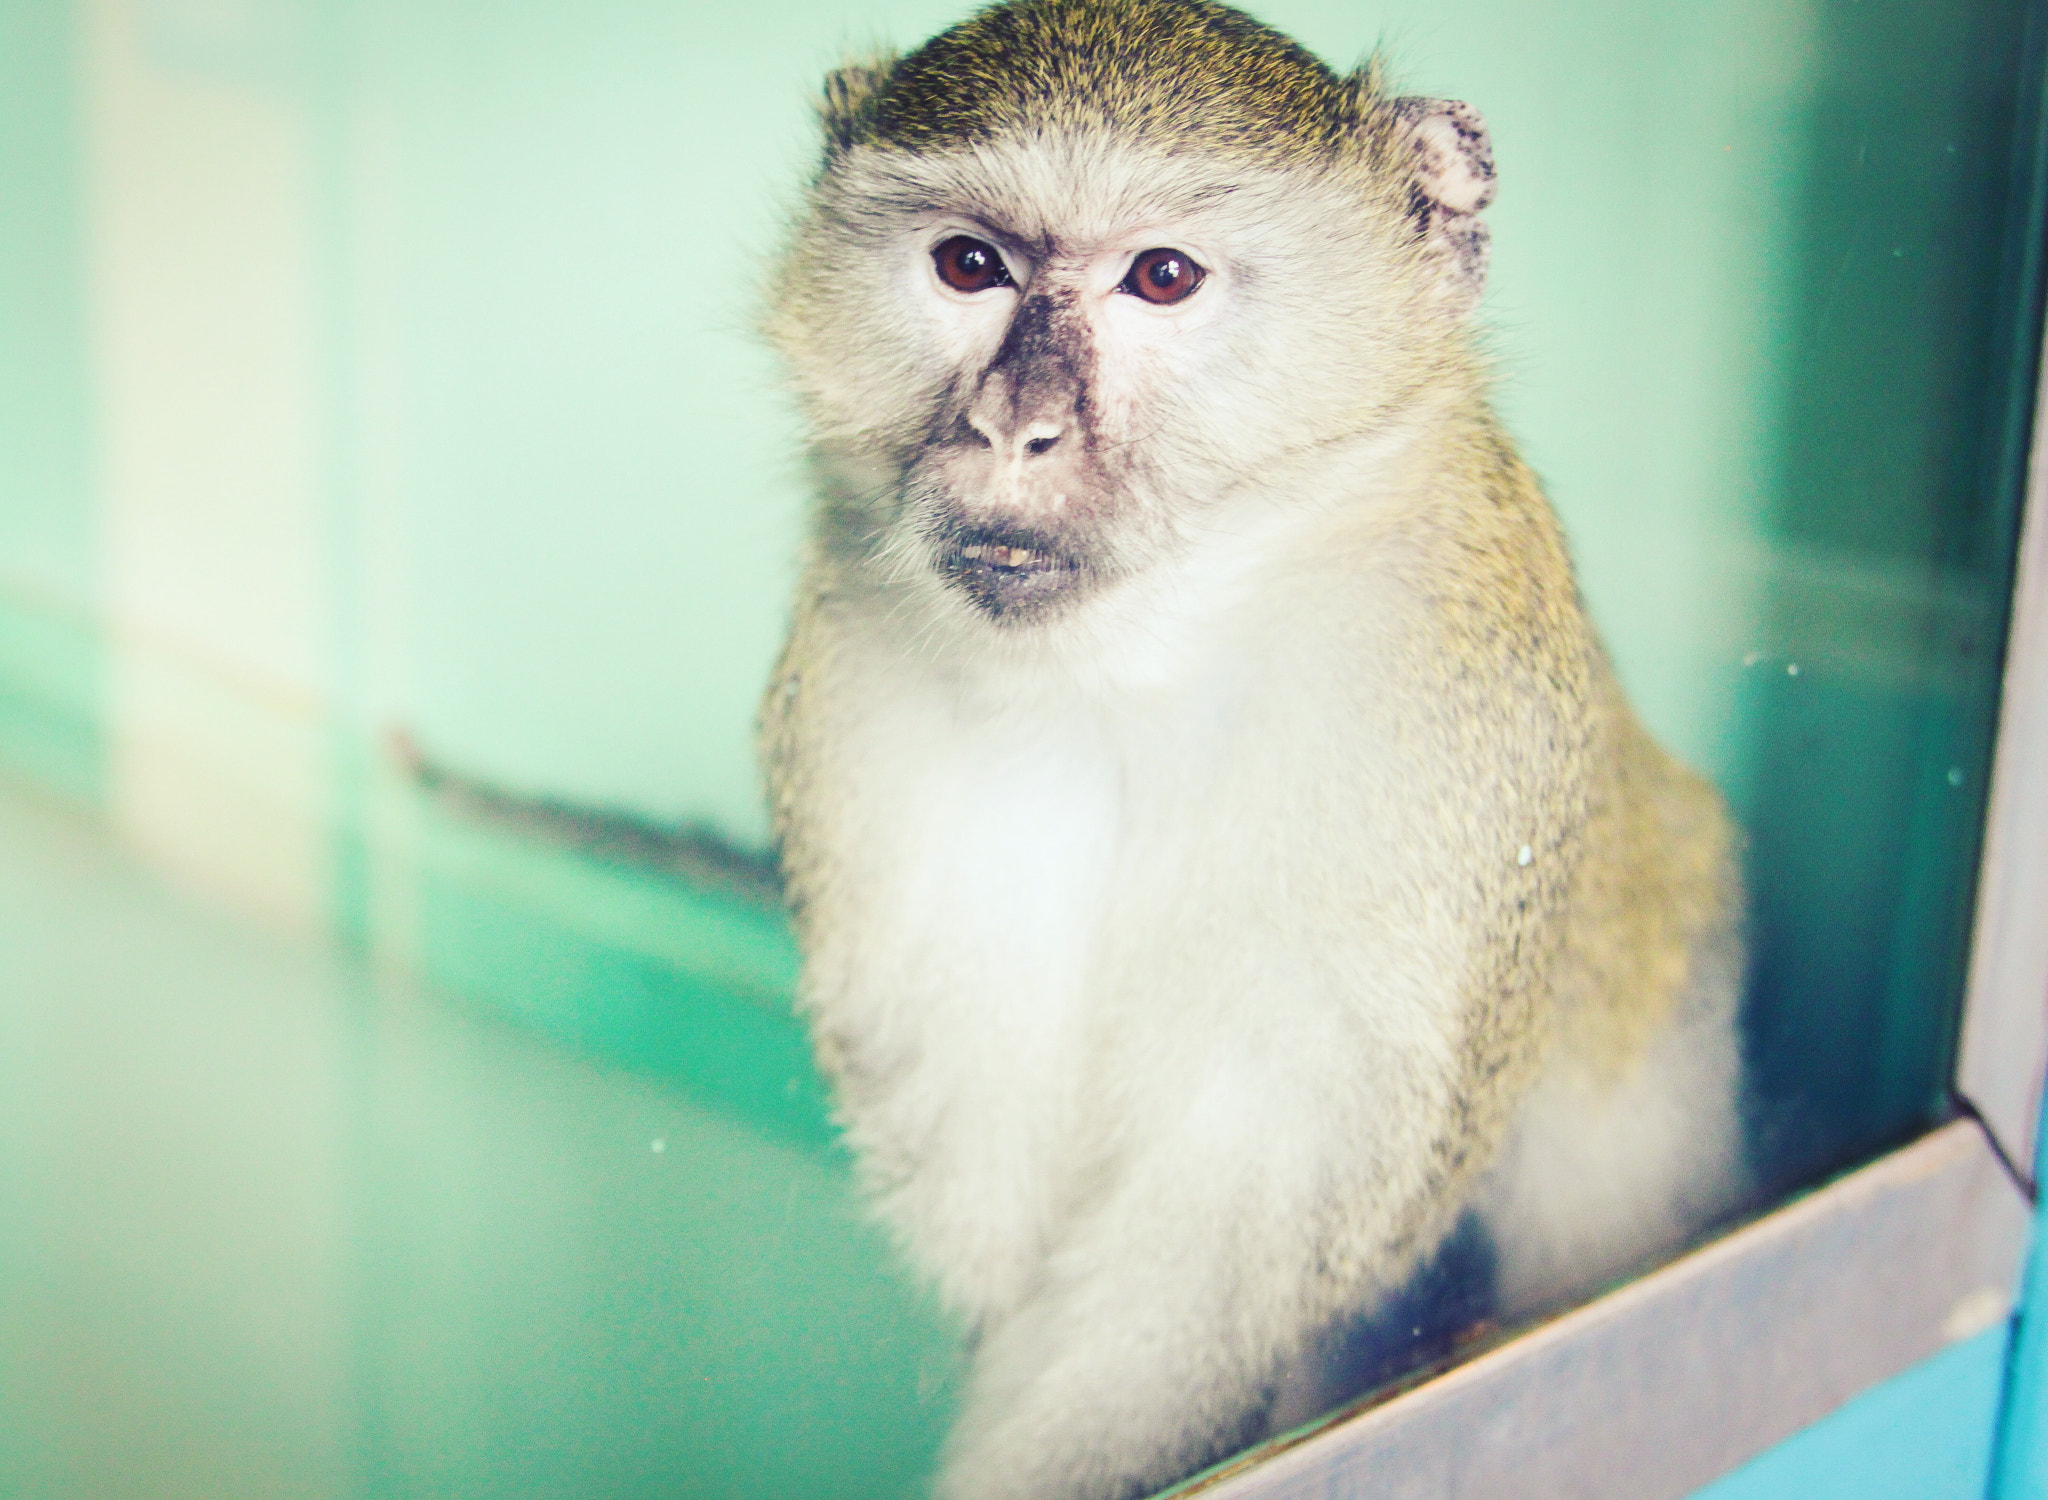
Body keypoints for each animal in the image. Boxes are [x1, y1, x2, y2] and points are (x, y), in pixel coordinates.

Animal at [756, 2, 1748, 1495]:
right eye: (968, 265)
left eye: (1160, 277)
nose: (1009, 426)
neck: (1137, 669)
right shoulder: (865, 694)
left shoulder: (1439, 733)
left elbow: (1235, 1226)